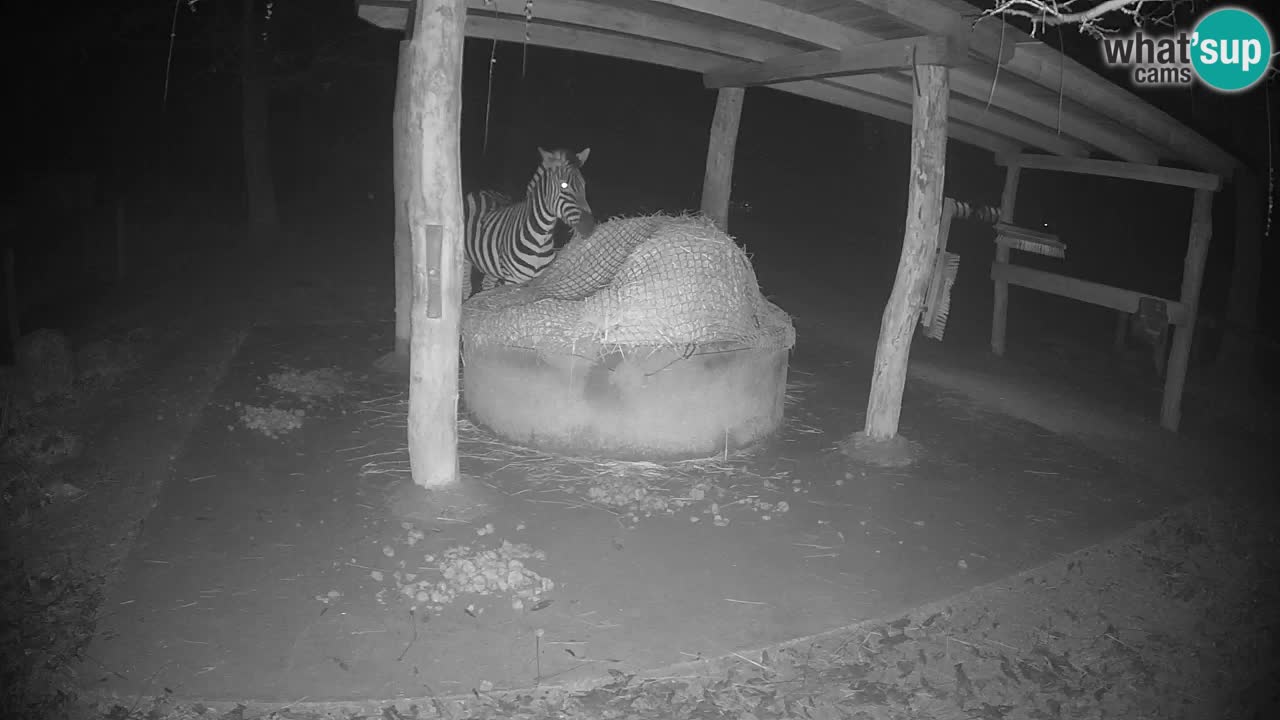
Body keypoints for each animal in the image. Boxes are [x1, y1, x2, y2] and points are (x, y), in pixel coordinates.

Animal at [463, 147, 595, 296]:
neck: (541, 239)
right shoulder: (513, 281)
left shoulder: (538, 280)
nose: (590, 226)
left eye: (584, 185)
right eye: (564, 185)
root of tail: (482, 191)